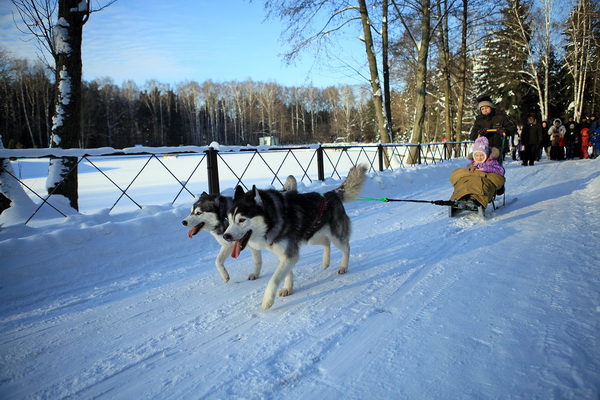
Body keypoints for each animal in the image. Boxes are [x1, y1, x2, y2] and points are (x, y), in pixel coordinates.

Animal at [223, 164, 368, 310]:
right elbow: (287, 274)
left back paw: (343, 267)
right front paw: (288, 288)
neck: (273, 219)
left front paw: (267, 301)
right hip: (311, 237)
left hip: (336, 238)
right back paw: (325, 262)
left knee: (346, 248)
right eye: (228, 219)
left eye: (242, 220)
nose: (226, 236)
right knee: (326, 242)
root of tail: (331, 194)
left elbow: (274, 279)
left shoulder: (289, 254)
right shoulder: (285, 254)